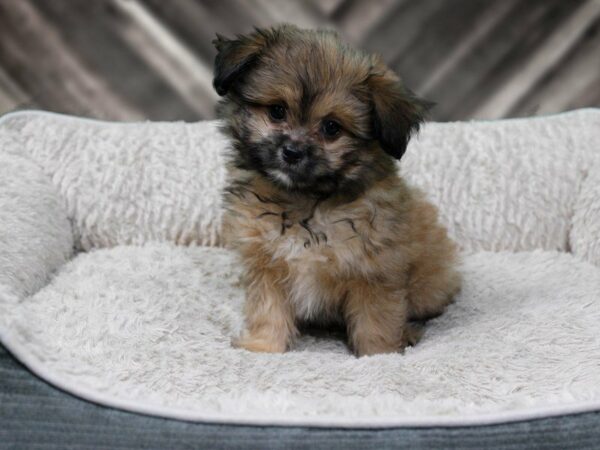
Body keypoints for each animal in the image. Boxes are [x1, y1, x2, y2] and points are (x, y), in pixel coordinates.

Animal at [213, 24, 462, 356]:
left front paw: (378, 355)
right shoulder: (265, 263)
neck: (306, 200)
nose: (292, 152)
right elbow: (268, 309)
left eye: (331, 127)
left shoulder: (374, 271)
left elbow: (376, 319)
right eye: (277, 111)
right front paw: (263, 346)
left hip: (429, 286)